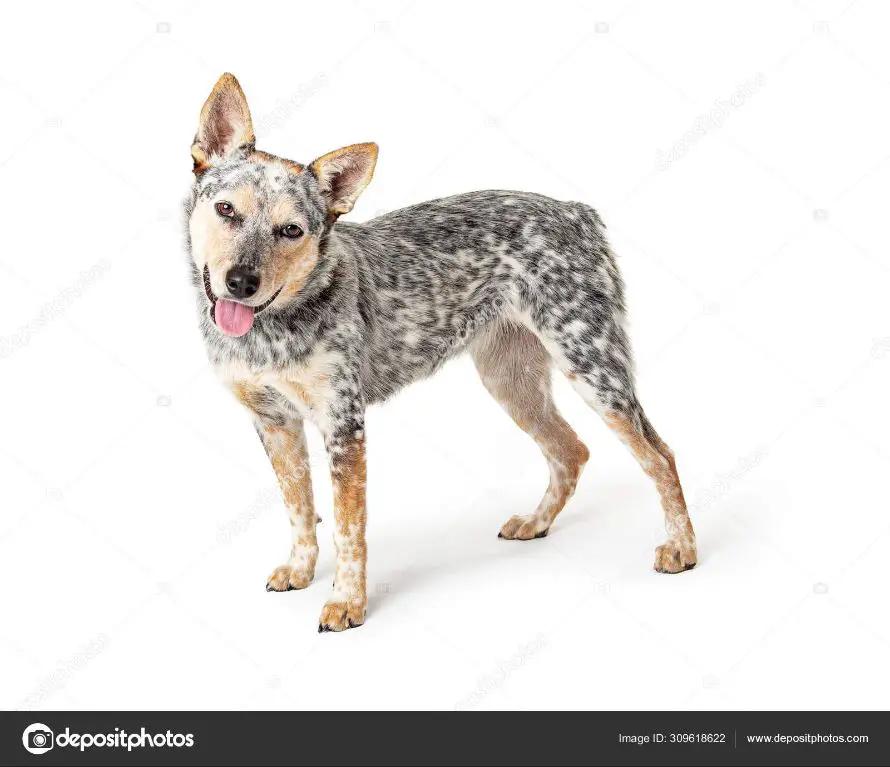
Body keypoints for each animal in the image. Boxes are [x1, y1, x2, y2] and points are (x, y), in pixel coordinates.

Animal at [186, 75, 692, 632]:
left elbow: (347, 527)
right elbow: (299, 508)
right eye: (226, 209)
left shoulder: (344, 424)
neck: (272, 330)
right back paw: (535, 523)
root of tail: (575, 211)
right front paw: (300, 569)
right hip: (510, 382)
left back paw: (681, 548)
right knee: (570, 450)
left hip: (593, 368)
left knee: (660, 455)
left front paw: (347, 602)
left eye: (291, 230)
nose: (241, 281)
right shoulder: (274, 422)